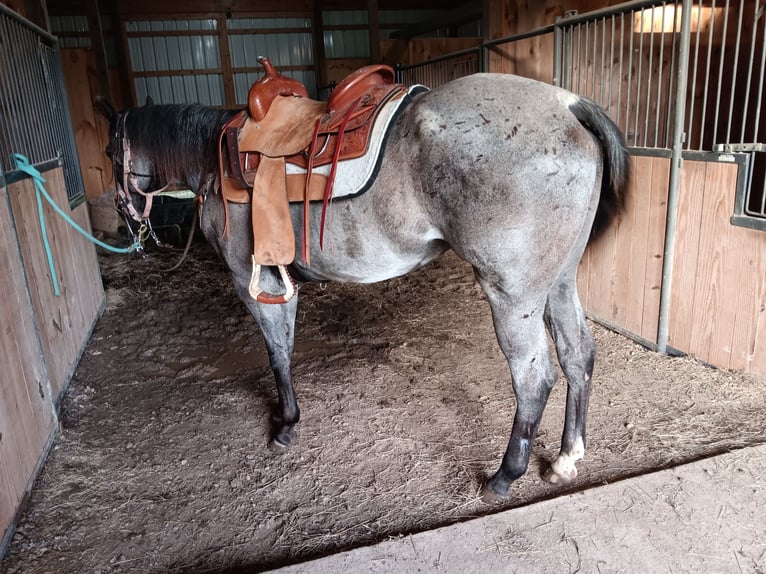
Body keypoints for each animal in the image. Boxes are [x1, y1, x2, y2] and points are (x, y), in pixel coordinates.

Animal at [97, 70, 629, 502]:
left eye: (107, 151)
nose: (127, 218)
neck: (215, 157)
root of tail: (568, 104)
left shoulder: (252, 283)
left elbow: (277, 353)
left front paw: (286, 425)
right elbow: (284, 347)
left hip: (513, 296)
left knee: (534, 379)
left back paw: (504, 476)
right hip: (558, 283)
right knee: (579, 353)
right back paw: (565, 459)